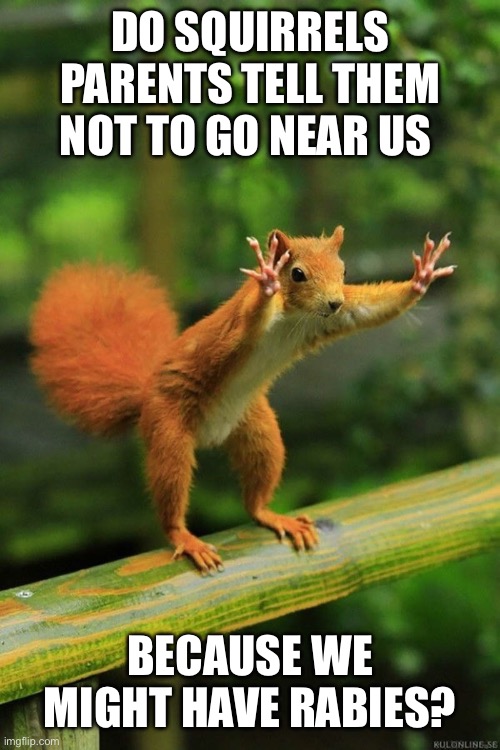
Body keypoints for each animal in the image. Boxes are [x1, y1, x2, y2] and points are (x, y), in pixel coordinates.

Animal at [30, 227, 454, 572]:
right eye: (297, 273)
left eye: (345, 271)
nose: (333, 301)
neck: (294, 316)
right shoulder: (239, 326)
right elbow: (248, 321)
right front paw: (266, 278)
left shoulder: (334, 318)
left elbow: (368, 309)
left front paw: (421, 278)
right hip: (168, 430)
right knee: (170, 487)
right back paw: (184, 536)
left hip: (258, 429)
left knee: (255, 493)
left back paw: (271, 515)